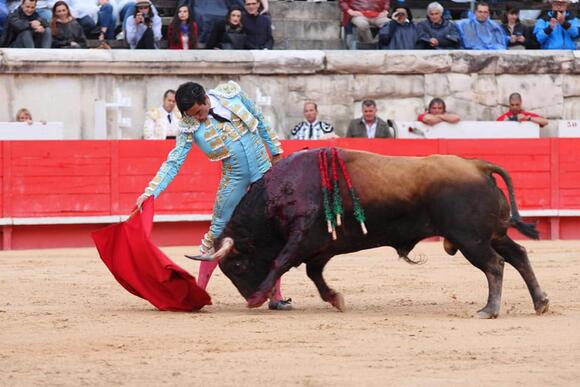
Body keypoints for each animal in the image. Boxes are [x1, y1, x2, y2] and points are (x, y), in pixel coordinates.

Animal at [201, 149, 548, 318]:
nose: (251, 298)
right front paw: (336, 298)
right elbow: (315, 274)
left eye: (237, 265)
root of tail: (477, 166)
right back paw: (540, 302)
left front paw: (259, 295)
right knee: (518, 256)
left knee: (494, 265)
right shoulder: (321, 247)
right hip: (492, 235)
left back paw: (489, 310)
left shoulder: (302, 238)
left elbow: (280, 262)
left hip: (470, 238)